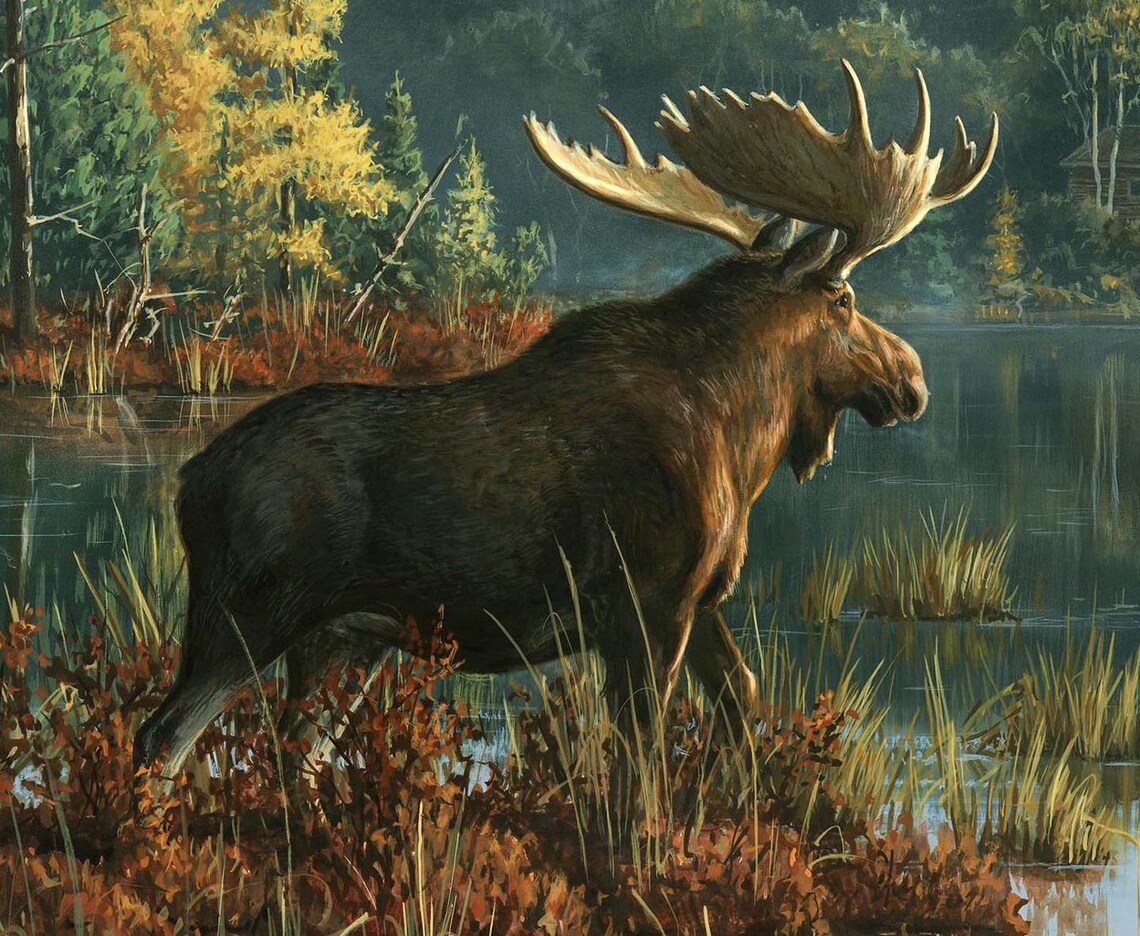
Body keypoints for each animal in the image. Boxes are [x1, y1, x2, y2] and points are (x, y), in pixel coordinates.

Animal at [133, 61, 997, 775]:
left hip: (341, 640)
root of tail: (189, 481)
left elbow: (741, 705)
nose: (912, 380)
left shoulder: (701, 599)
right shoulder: (647, 602)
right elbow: (640, 753)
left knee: (295, 754)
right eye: (844, 299)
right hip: (245, 617)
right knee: (162, 737)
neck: (740, 433)